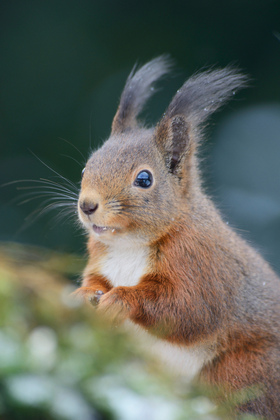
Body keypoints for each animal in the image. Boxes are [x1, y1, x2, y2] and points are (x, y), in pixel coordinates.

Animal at [73, 56, 280, 416]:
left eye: (144, 179)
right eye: (87, 167)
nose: (87, 205)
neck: (129, 244)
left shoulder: (199, 262)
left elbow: (188, 310)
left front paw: (122, 299)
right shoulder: (100, 257)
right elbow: (95, 280)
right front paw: (83, 295)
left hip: (245, 369)